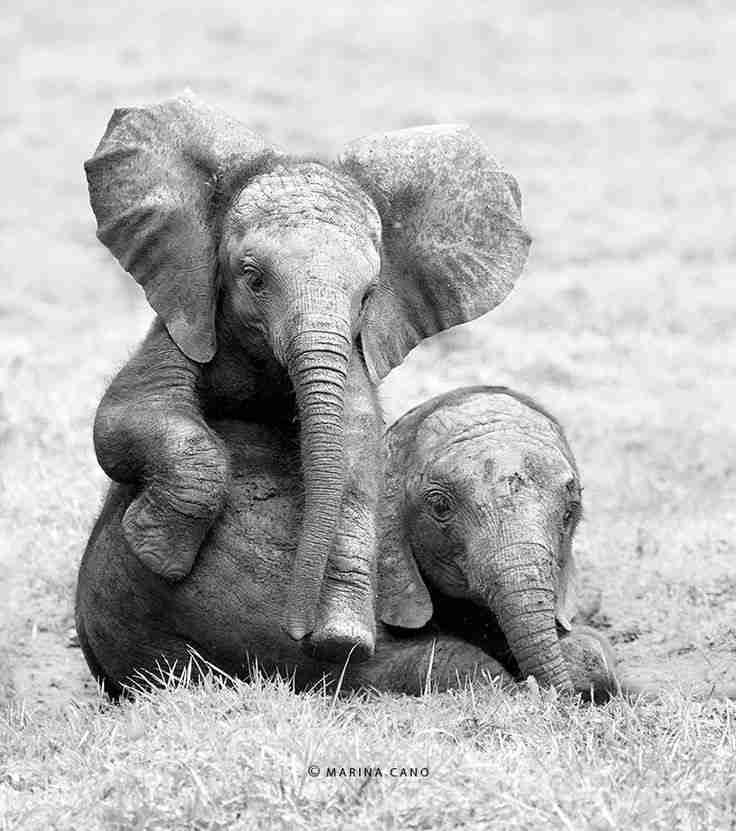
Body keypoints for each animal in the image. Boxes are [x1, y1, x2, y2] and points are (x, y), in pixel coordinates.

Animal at [76, 386, 623, 700]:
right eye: (439, 507)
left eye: (572, 508)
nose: (549, 697)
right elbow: (391, 664)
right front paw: (514, 687)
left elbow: (589, 651)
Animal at [84, 93, 531, 660]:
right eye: (252, 278)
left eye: (368, 295)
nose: (296, 630)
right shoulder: (189, 317)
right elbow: (123, 418)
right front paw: (155, 553)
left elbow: (357, 453)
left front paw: (341, 640)